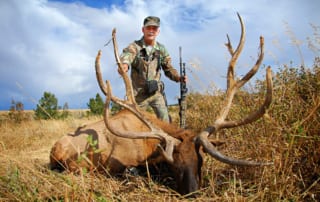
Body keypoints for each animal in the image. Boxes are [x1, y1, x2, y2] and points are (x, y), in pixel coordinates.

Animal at [49, 13, 272, 196]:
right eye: (174, 165)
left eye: (200, 161)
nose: (192, 193)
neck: (149, 145)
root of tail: (54, 148)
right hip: (74, 164)